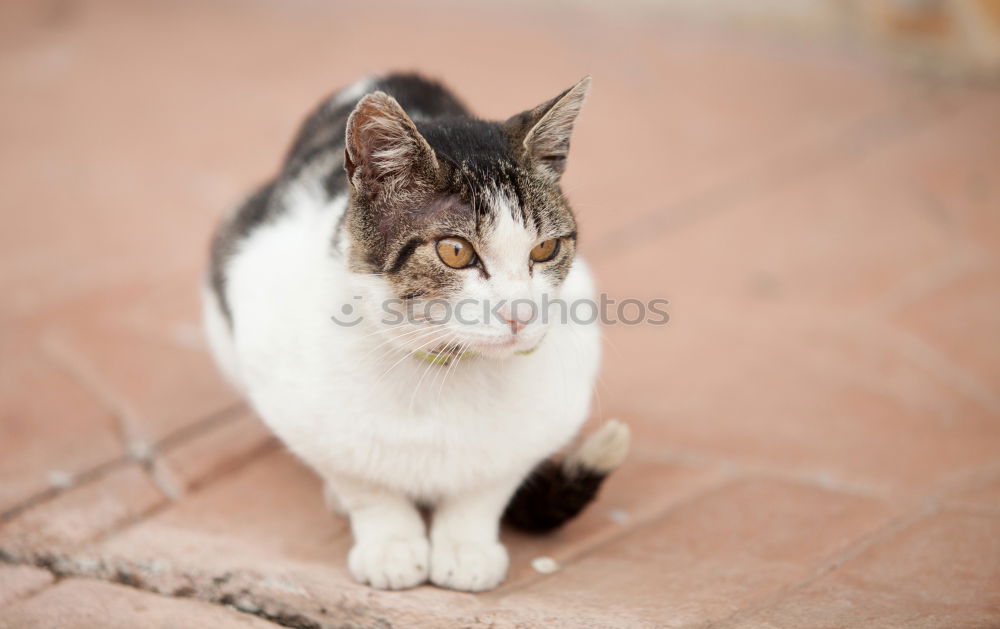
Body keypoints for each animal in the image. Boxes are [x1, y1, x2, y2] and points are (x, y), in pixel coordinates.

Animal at [200, 71, 628, 592]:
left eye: (545, 249)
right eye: (456, 251)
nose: (521, 314)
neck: (443, 367)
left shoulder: (552, 410)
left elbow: (489, 483)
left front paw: (465, 546)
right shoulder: (280, 375)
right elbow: (362, 481)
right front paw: (391, 544)